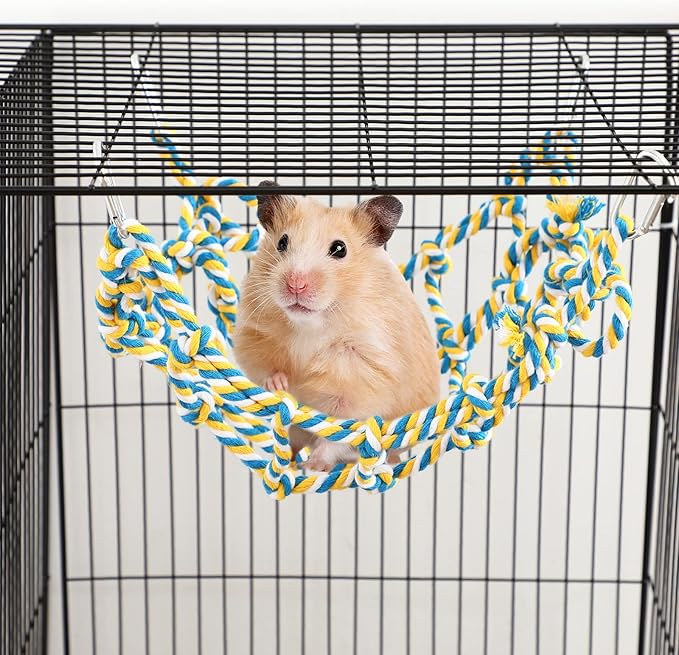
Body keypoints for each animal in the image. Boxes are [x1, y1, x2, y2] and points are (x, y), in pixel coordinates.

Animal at [232, 182, 440, 472]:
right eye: (282, 242)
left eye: (340, 248)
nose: (295, 284)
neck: (311, 325)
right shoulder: (253, 335)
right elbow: (263, 368)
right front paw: (279, 382)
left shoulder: (360, 377)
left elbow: (338, 433)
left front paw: (315, 466)